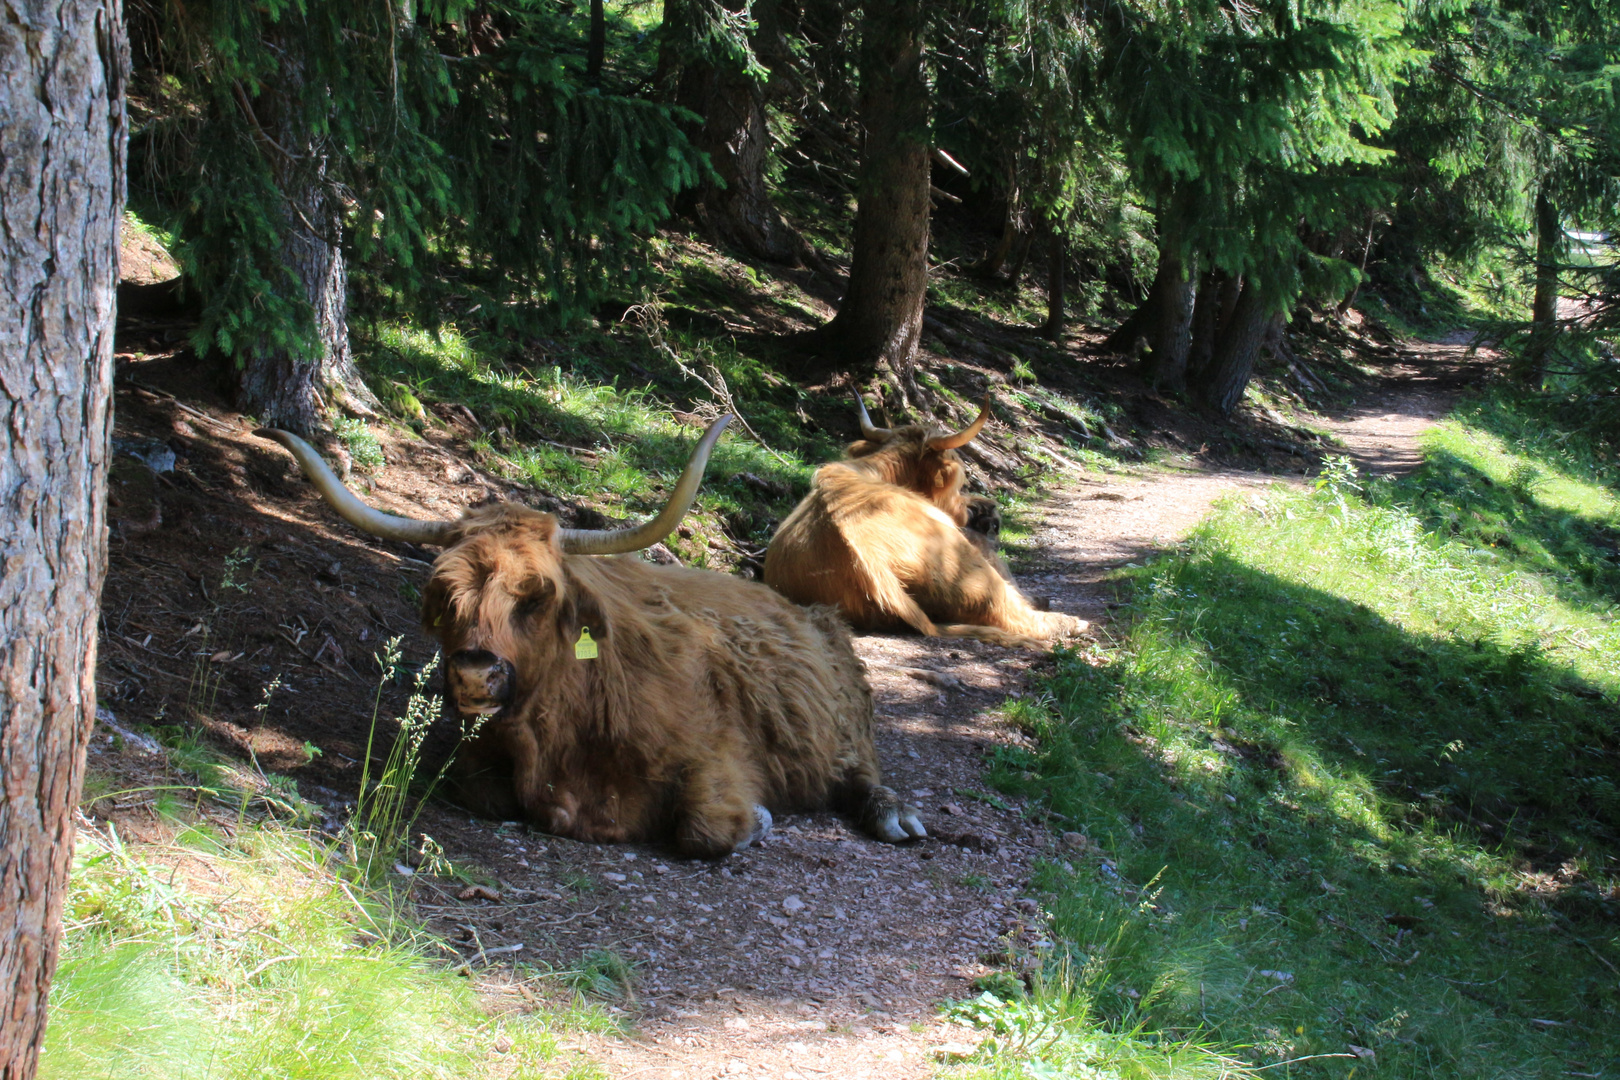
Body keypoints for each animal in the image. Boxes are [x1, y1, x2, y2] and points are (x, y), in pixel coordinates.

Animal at [264, 417, 926, 854]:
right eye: (446, 596)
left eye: (536, 595)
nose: (475, 672)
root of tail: (811, 610)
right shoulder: (479, 760)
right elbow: (481, 791)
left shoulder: (717, 757)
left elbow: (706, 831)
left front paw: (759, 822)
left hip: (845, 731)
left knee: (864, 773)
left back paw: (897, 816)